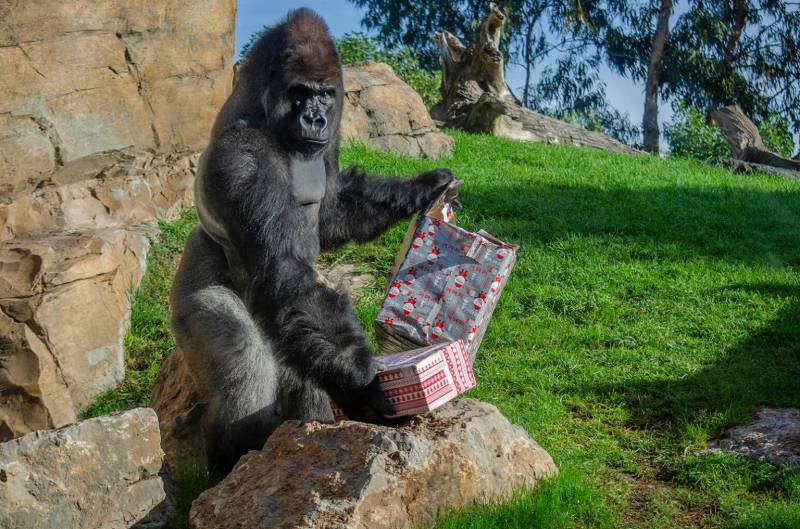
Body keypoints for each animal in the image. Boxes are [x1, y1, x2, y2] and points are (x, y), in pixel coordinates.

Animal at [170, 7, 456, 474]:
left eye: (324, 94)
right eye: (300, 93)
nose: (316, 118)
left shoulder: (331, 143)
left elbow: (334, 214)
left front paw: (426, 185)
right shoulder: (242, 157)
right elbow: (281, 267)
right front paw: (364, 385)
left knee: (305, 369)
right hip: (189, 302)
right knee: (246, 372)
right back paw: (236, 465)